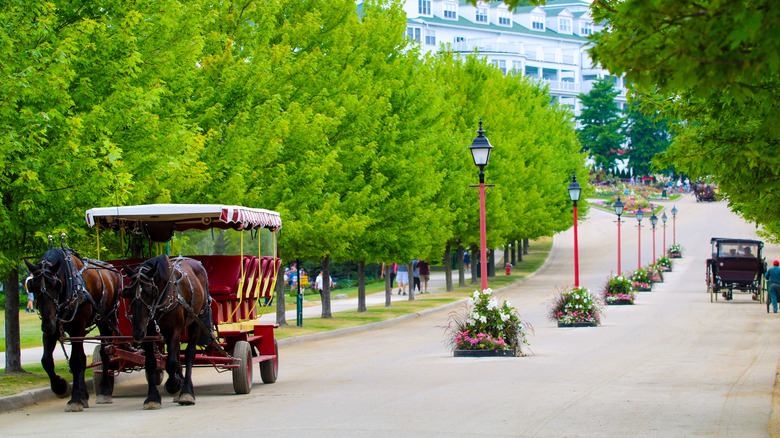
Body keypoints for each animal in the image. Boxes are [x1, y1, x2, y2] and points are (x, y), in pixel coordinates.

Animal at [25, 248, 122, 412]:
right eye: (33, 286)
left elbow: (76, 361)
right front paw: (61, 387)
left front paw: (75, 399)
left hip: (106, 320)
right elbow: (46, 361)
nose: (48, 325)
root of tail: (113, 270)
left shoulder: (77, 329)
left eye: (56, 285)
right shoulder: (51, 331)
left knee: (105, 353)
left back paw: (104, 391)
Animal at [121, 255, 209, 408]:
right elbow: (150, 362)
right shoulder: (148, 332)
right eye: (128, 293)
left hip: (198, 319)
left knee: (189, 353)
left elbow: (171, 362)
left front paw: (173, 386)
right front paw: (152, 397)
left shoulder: (174, 329)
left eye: (149, 293)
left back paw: (186, 391)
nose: (137, 332)